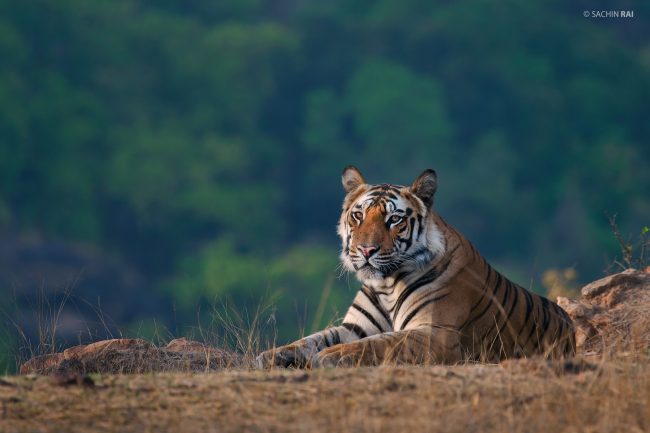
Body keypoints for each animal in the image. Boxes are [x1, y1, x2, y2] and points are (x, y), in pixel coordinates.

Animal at [256, 166, 575, 368]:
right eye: (358, 216)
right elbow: (309, 340)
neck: (385, 284)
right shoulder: (354, 327)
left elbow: (378, 344)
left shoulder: (435, 333)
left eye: (394, 219)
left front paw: (327, 357)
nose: (366, 250)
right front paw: (270, 357)